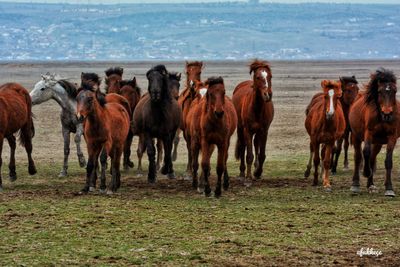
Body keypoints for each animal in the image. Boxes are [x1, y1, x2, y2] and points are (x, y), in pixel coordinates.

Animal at [348, 68, 398, 196]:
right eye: (379, 91)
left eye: (395, 91)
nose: (387, 113)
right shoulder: (369, 133)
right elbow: (365, 152)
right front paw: (366, 172)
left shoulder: (392, 137)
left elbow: (388, 161)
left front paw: (389, 188)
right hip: (356, 137)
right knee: (358, 157)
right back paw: (355, 184)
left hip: (378, 142)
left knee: (372, 158)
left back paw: (370, 185)